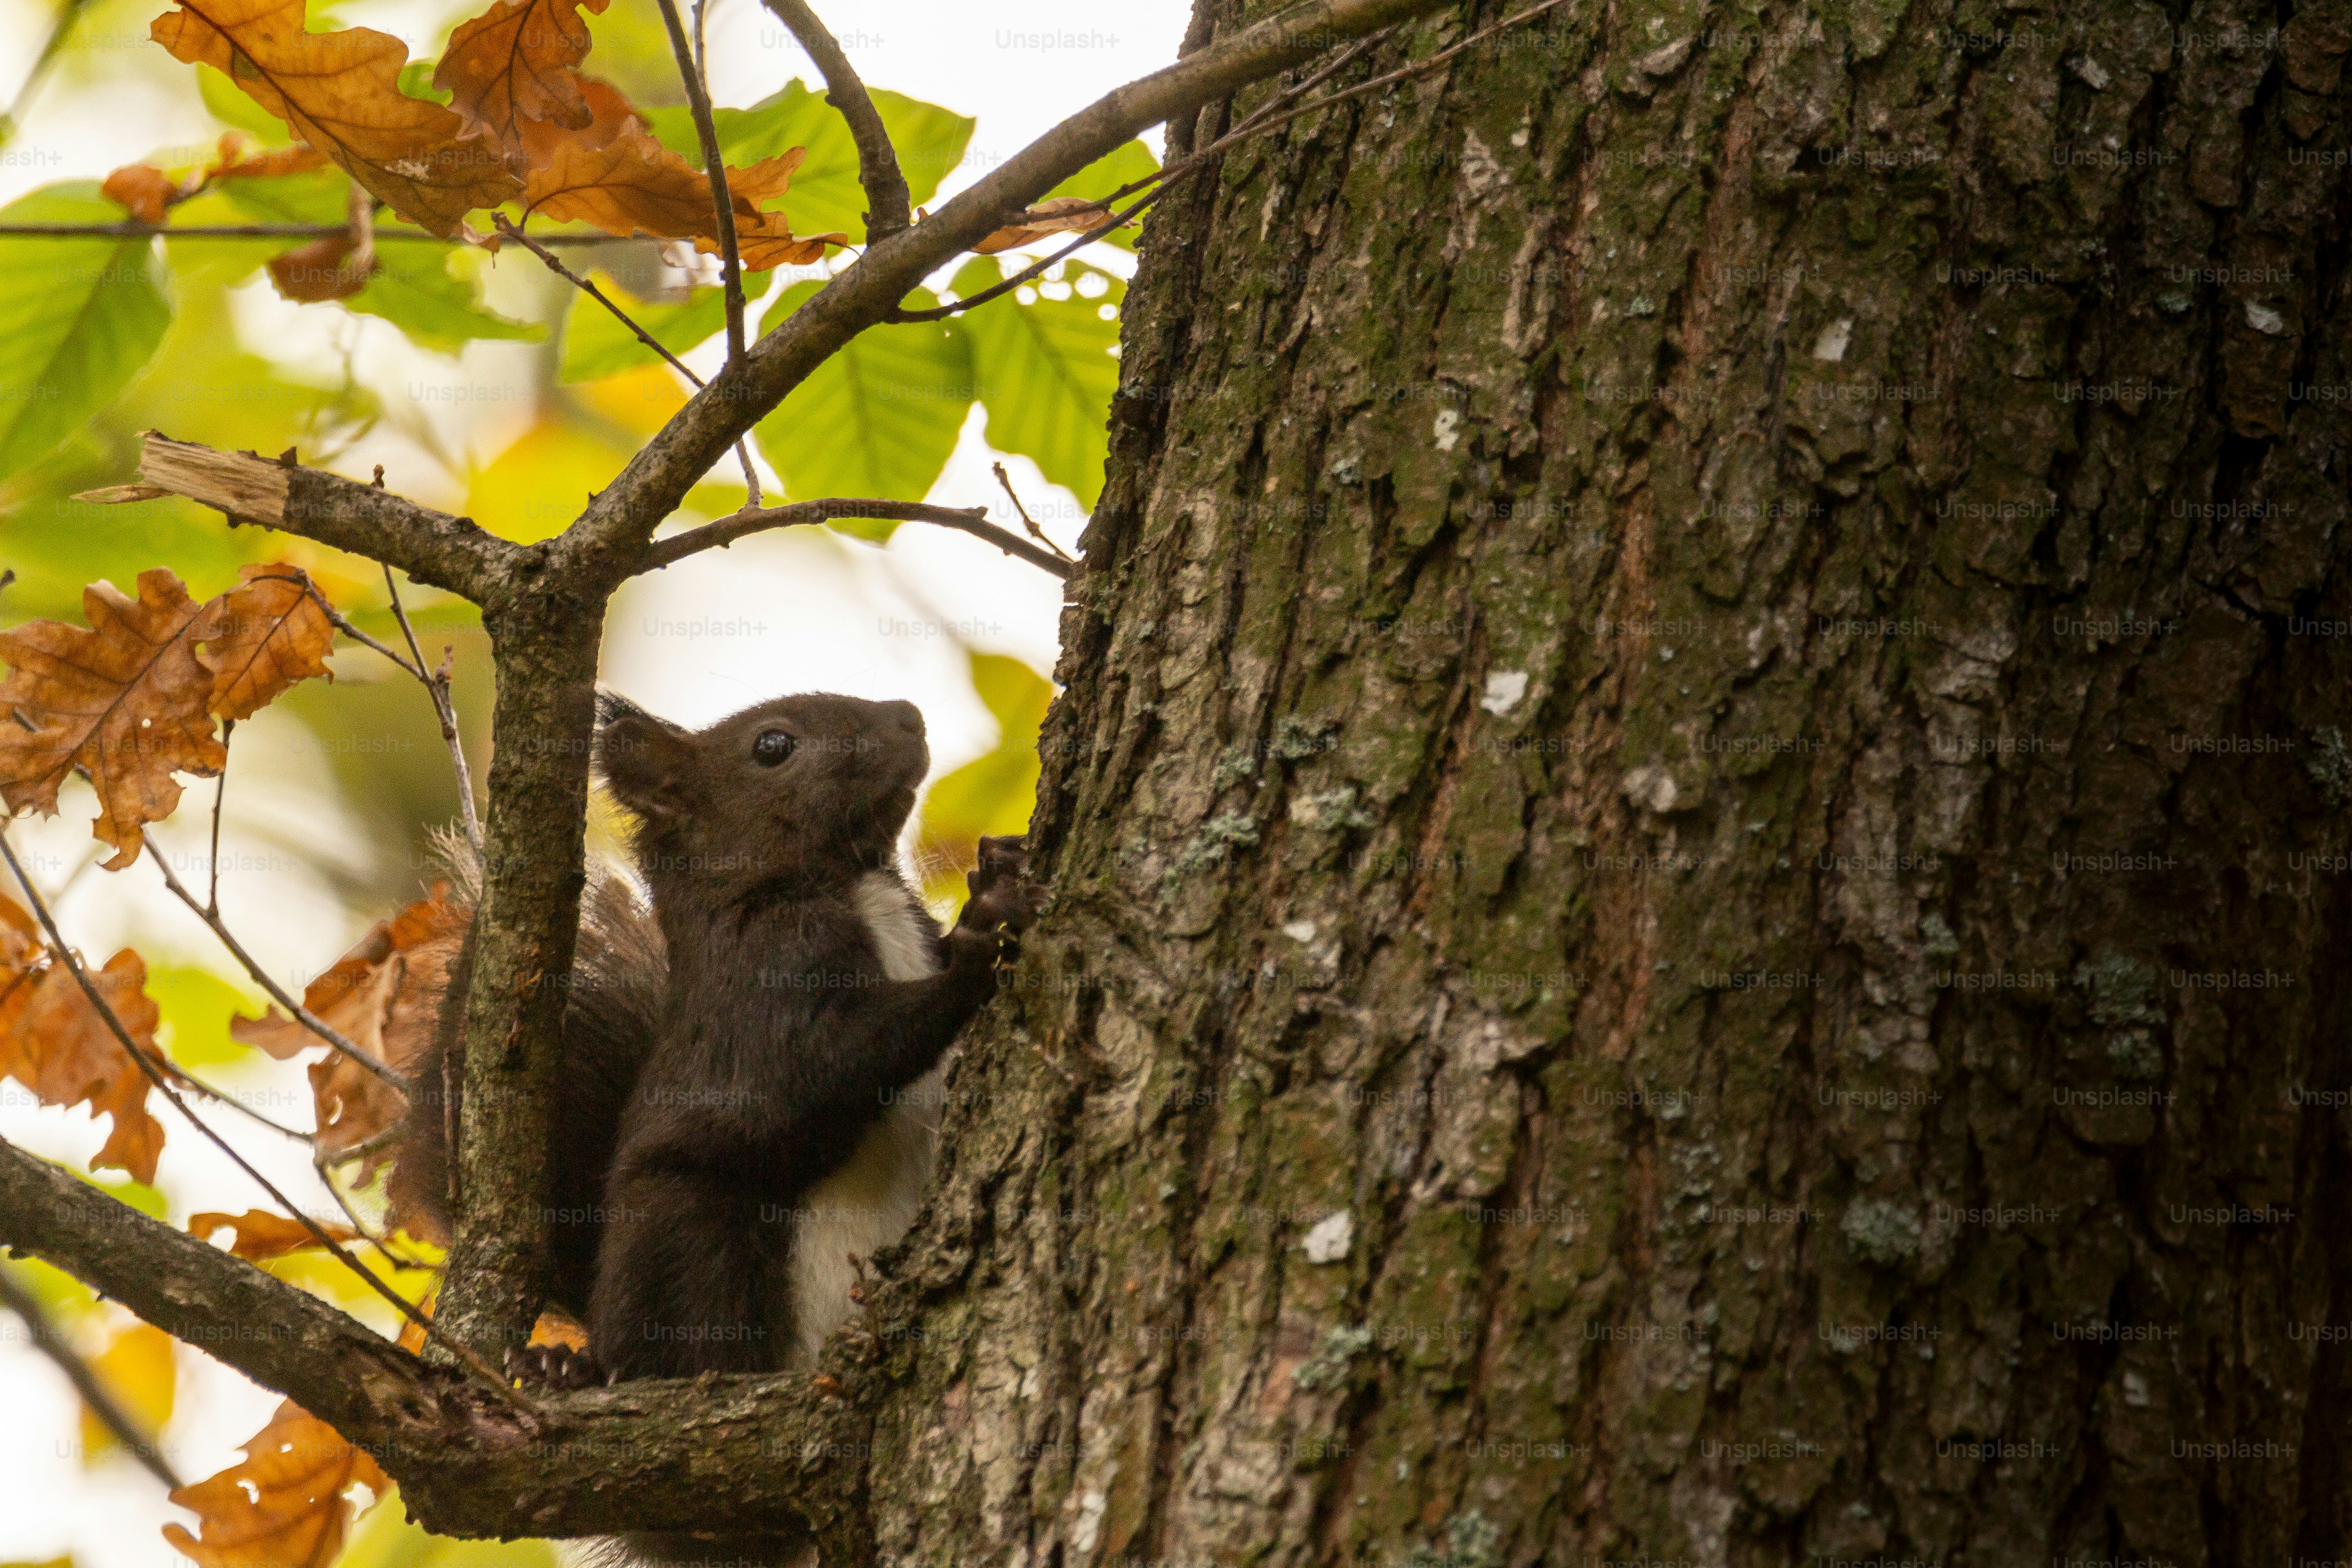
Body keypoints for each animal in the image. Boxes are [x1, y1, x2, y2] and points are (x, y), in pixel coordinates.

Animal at [390, 689, 1037, 1403]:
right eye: (773, 746)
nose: (910, 717)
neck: (854, 885)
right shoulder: (756, 996)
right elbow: (830, 1065)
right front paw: (977, 949)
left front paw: (999, 871)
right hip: (686, 1229)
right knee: (664, 1341)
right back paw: (577, 1368)